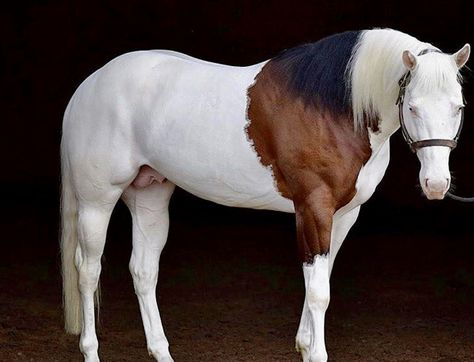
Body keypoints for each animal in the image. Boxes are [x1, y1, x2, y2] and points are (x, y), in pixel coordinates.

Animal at [60, 29, 470, 362]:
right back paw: (91, 351)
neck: (334, 107)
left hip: (149, 196)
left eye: (459, 107)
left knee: (143, 271)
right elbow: (318, 292)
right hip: (97, 201)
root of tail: (89, 86)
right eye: (412, 106)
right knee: (88, 270)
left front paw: (304, 345)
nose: (436, 184)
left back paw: (162, 352)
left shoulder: (343, 215)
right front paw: (315, 352)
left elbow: (321, 281)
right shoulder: (313, 209)